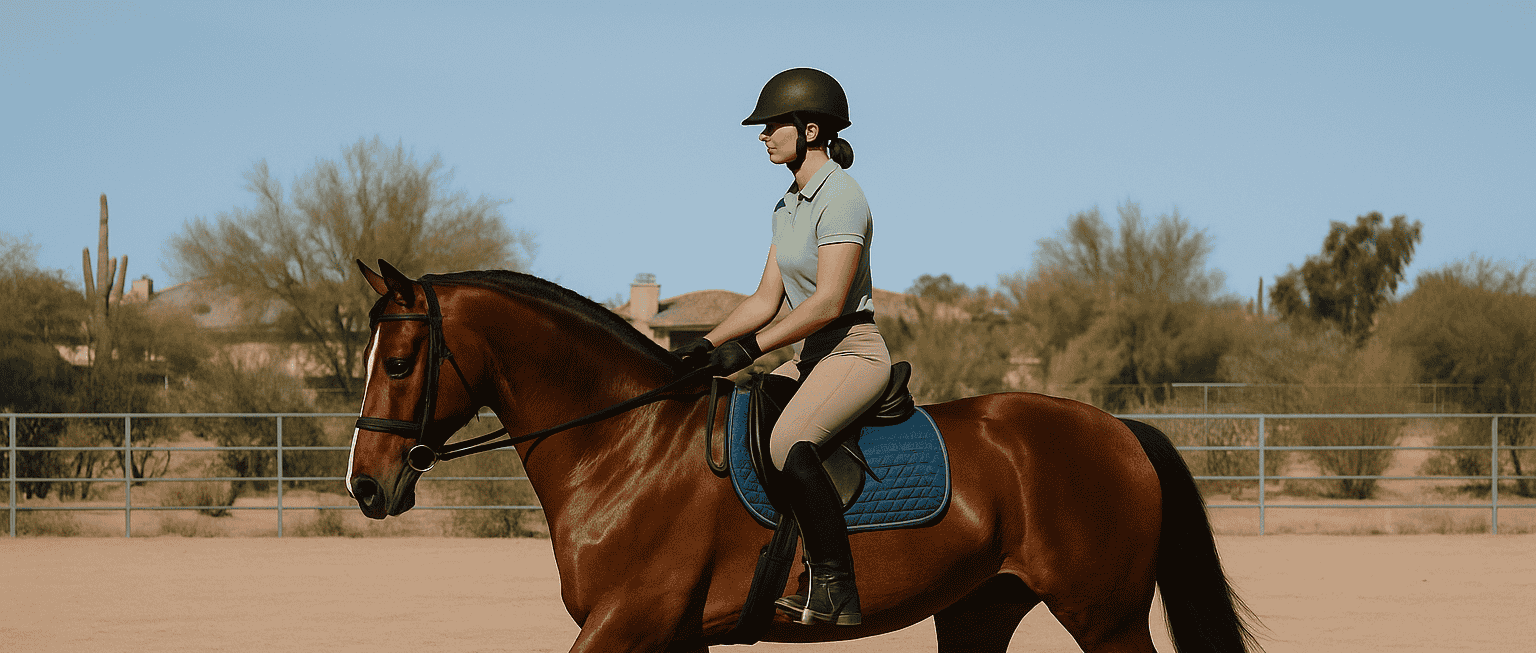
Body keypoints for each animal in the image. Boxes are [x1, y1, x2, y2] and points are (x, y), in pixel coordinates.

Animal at [345, 260, 1262, 653]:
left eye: (400, 362)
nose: (364, 485)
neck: (626, 447)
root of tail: (1120, 428)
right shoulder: (674, 638)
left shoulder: (629, 622)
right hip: (980, 607)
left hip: (1105, 616)